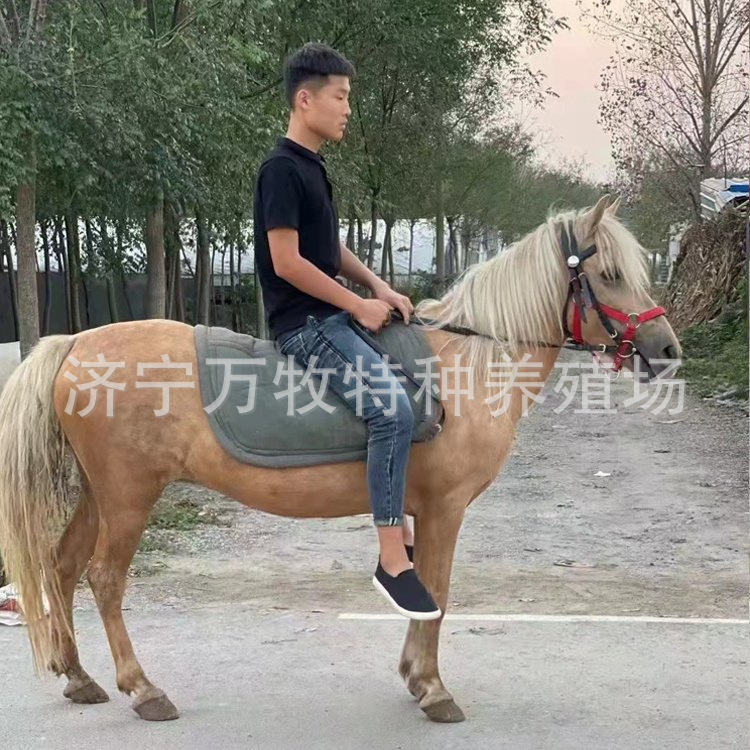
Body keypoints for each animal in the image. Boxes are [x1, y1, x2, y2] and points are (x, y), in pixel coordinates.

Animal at [0, 196, 681, 724]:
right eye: (610, 272)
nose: (667, 348)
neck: (469, 366)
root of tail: (75, 343)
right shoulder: (445, 509)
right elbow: (436, 589)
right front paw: (433, 688)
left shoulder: (422, 509)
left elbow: (424, 587)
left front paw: (413, 675)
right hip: (129, 496)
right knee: (104, 578)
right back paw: (142, 689)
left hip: (101, 493)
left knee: (62, 567)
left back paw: (78, 676)